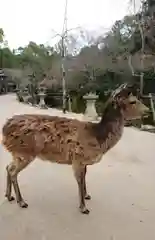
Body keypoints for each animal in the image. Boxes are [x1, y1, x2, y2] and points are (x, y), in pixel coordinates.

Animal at [1, 83, 149, 215]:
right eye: (133, 101)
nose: (148, 110)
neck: (98, 139)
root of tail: (4, 129)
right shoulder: (78, 158)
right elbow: (79, 180)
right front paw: (83, 207)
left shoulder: (83, 161)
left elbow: (84, 177)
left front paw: (87, 195)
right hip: (24, 152)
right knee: (13, 171)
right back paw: (21, 202)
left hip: (17, 153)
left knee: (8, 167)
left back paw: (9, 196)